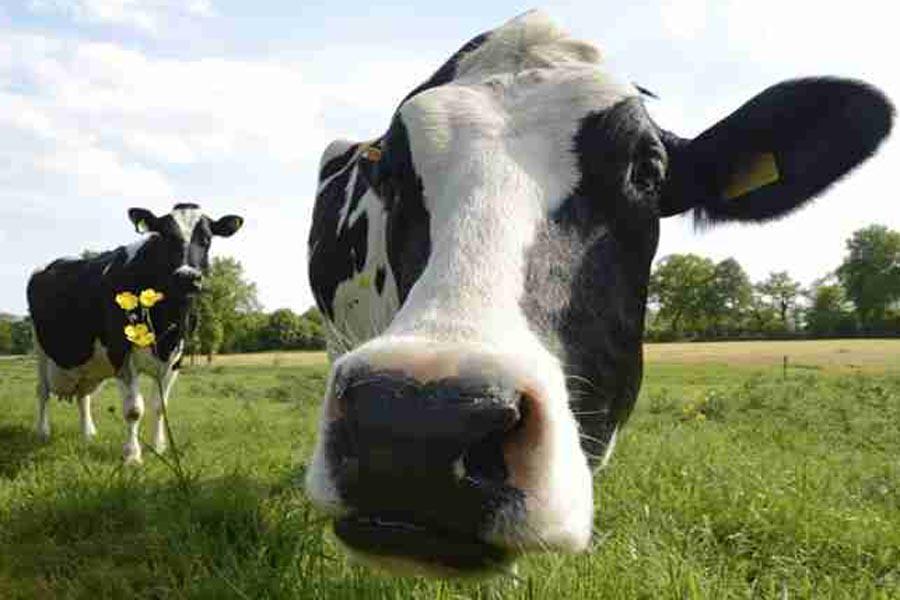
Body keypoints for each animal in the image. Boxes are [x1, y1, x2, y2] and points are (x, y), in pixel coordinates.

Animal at [27, 203, 243, 464]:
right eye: (165, 236)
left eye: (206, 239)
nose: (187, 277)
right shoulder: (121, 352)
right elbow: (133, 410)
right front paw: (132, 455)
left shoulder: (176, 357)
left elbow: (159, 406)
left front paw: (159, 447)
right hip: (40, 348)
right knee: (42, 392)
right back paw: (42, 432)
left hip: (87, 365)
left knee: (83, 396)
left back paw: (88, 433)